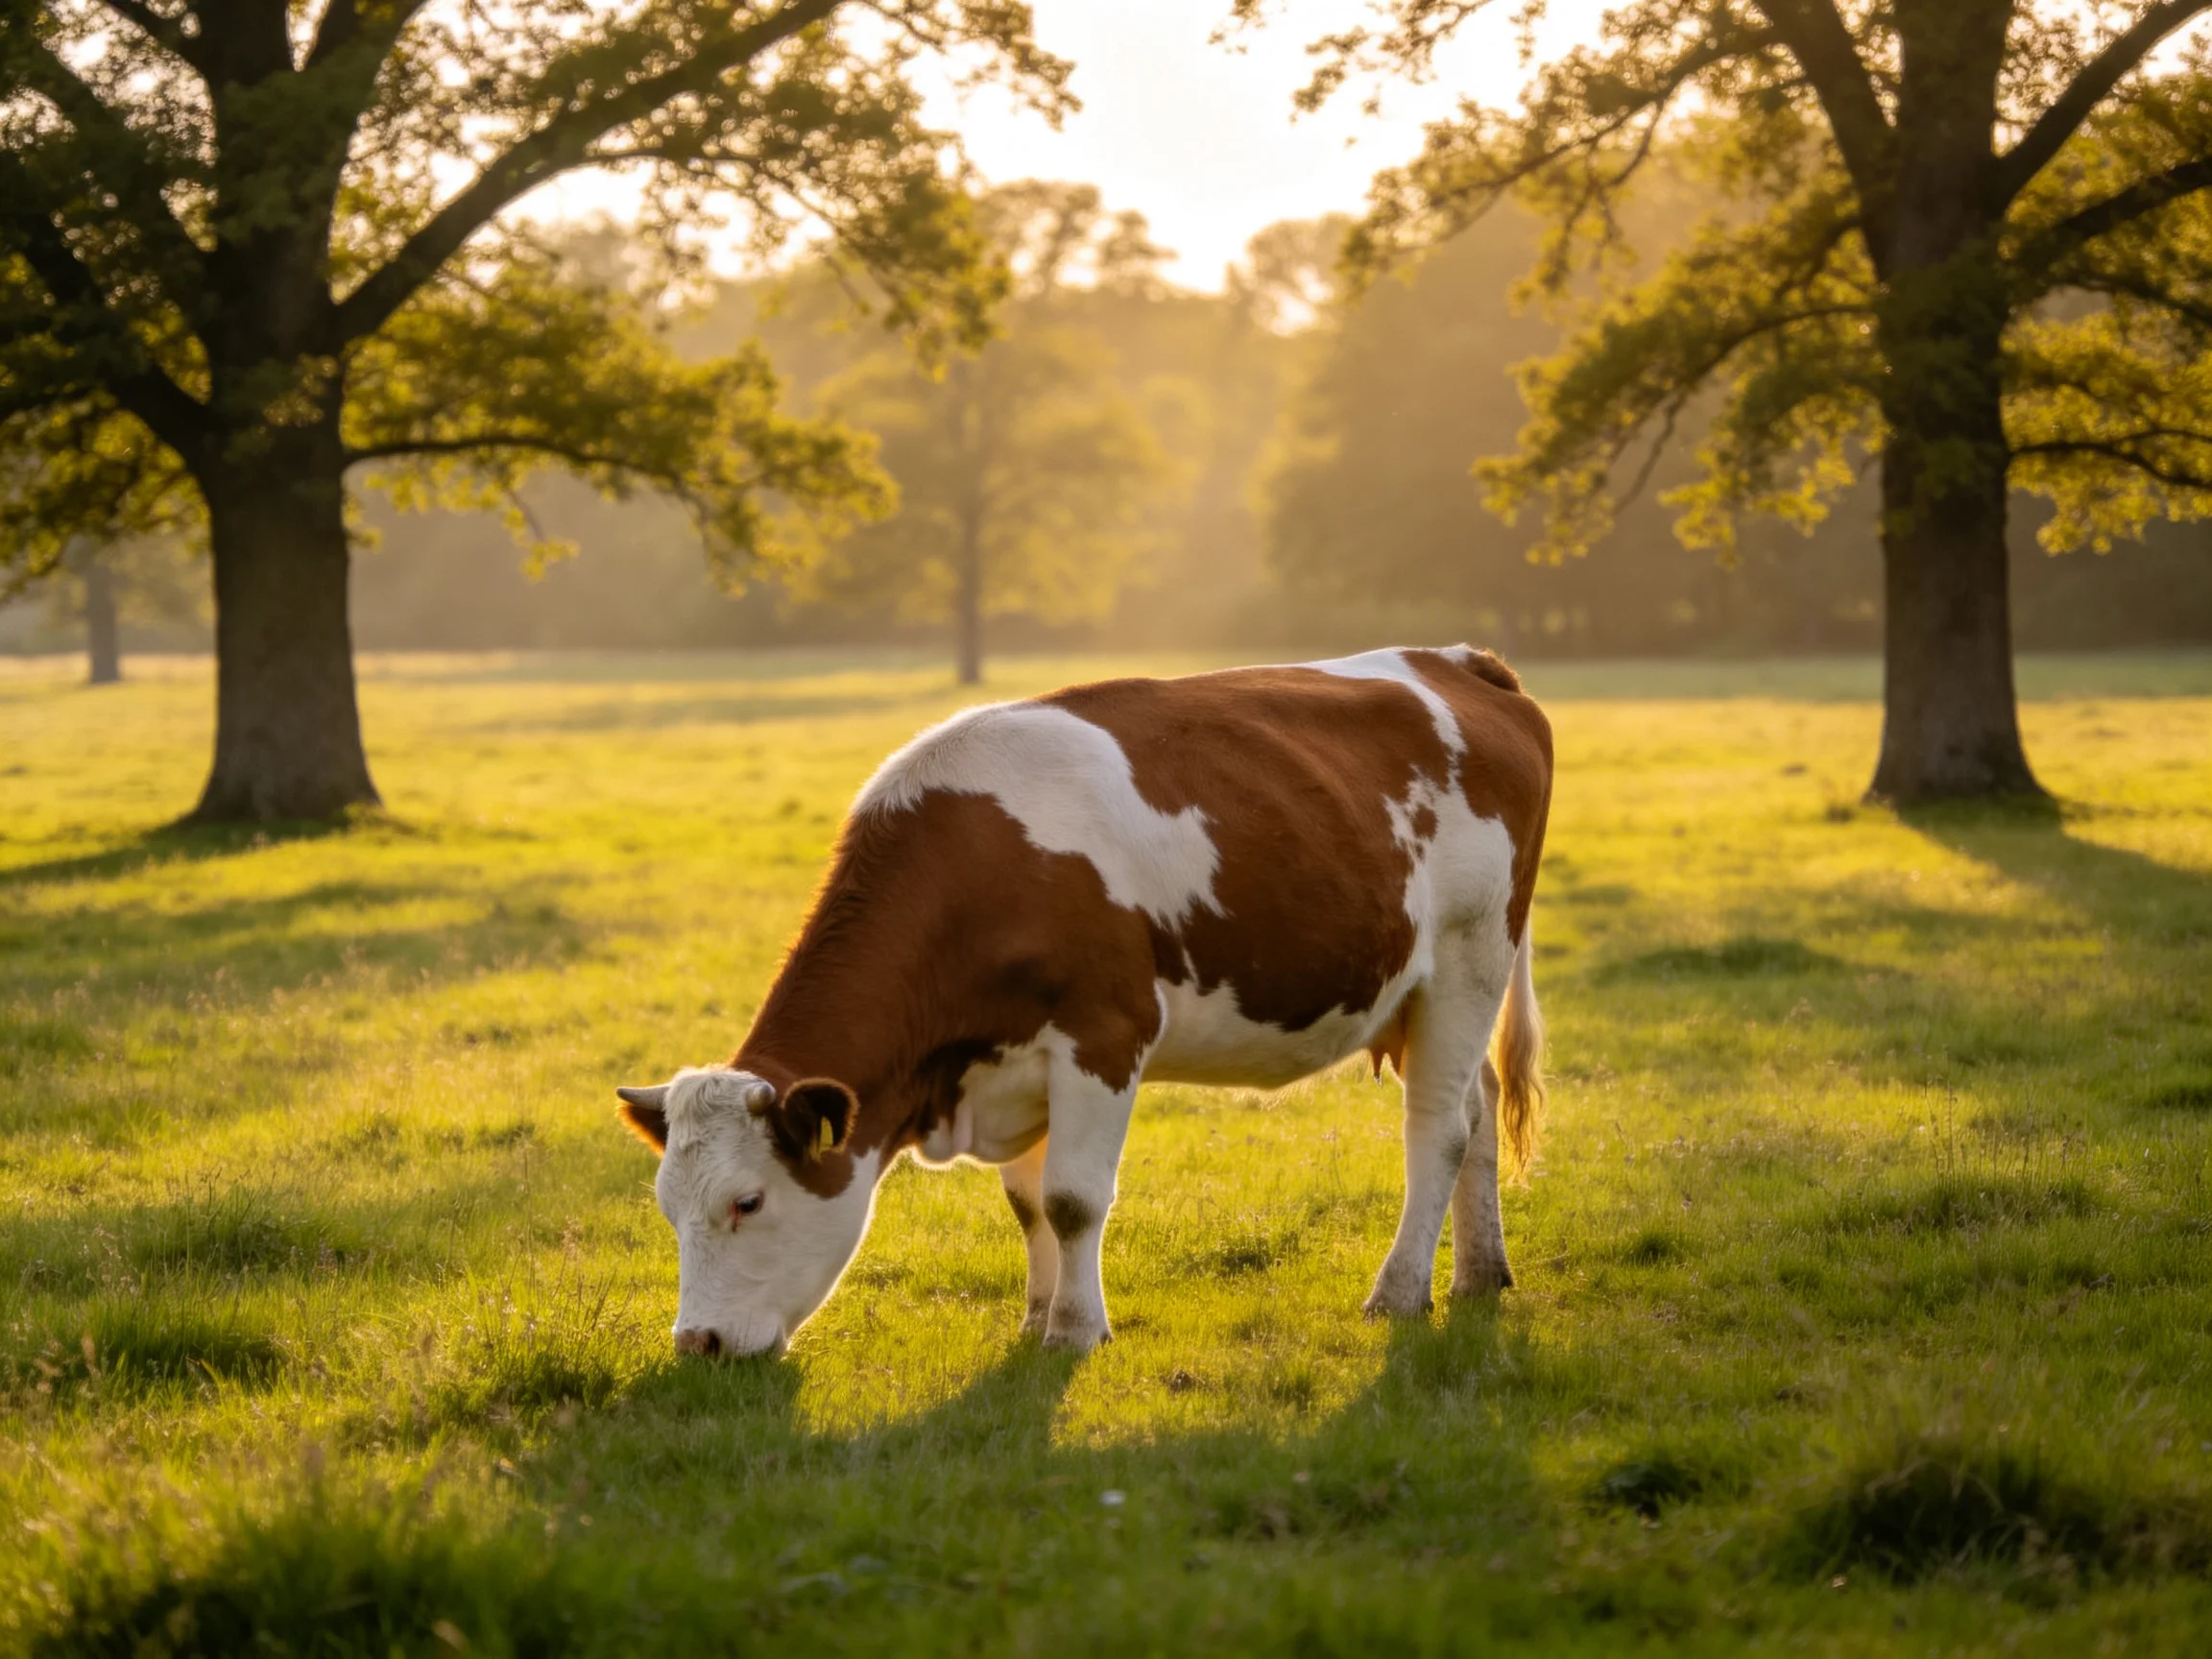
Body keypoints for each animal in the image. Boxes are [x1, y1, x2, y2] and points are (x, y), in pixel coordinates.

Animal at [614, 646, 1552, 1357]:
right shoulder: (1013, 1060)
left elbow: (1072, 1199)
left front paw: (1074, 1331)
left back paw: (1399, 1292)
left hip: (1470, 954)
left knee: (1439, 1128)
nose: (695, 1343)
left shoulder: (1103, 1035)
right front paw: (1036, 1320)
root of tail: (1457, 662)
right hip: (1430, 992)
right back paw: (1480, 1274)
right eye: (666, 1206)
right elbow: (1029, 1204)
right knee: (1477, 1105)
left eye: (748, 1201)